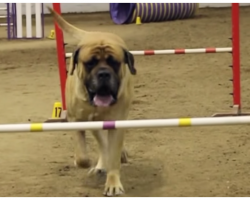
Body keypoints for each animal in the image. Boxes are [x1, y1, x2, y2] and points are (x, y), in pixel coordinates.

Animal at [47, 7, 137, 196]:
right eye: (89, 63)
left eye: (114, 62)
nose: (103, 73)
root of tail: (94, 33)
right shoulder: (75, 120)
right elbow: (82, 155)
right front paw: (82, 161)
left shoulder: (116, 122)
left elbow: (113, 153)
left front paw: (113, 183)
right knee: (101, 142)